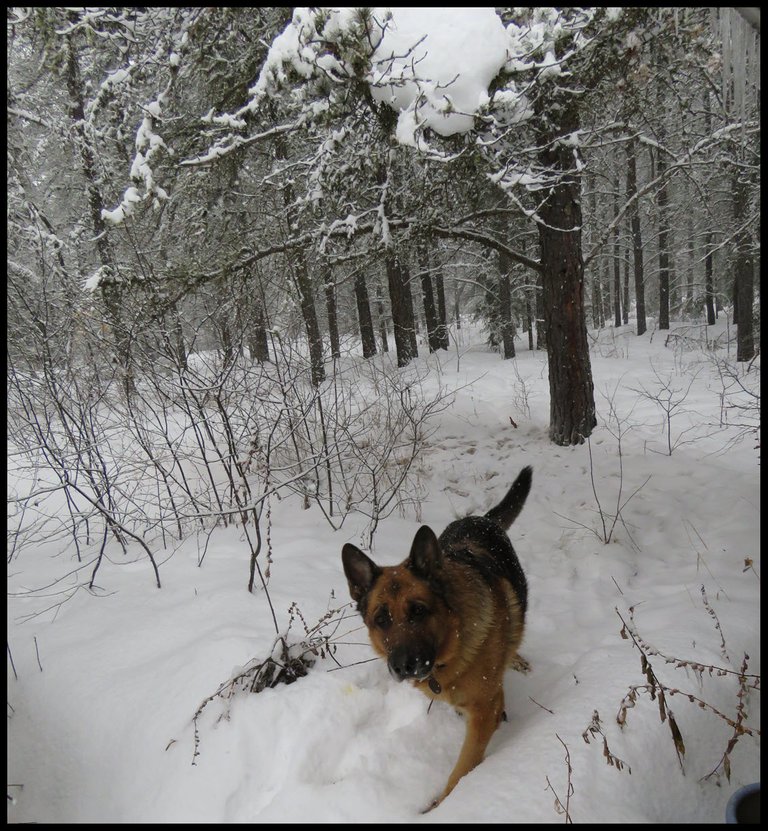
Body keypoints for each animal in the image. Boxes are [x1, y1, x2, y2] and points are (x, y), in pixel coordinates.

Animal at [344, 468, 536, 812]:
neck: (452, 649)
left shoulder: (483, 713)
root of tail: (480, 518)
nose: (403, 666)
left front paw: (443, 805)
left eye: (419, 611)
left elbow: (462, 769)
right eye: (381, 620)